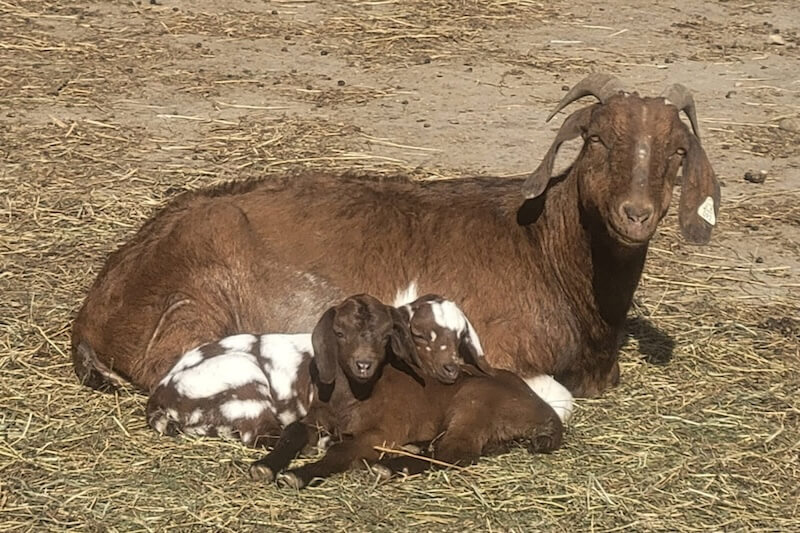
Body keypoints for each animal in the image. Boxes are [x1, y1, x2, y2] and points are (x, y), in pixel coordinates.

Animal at [71, 73, 720, 398]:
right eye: (598, 139)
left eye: (677, 153)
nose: (636, 215)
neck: (548, 254)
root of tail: (94, 310)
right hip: (195, 308)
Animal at [249, 297, 569, 489]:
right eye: (339, 333)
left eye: (385, 336)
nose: (363, 364)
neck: (352, 396)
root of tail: (545, 413)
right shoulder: (319, 416)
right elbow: (293, 431)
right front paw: (264, 466)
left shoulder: (383, 431)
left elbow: (343, 449)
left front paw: (297, 474)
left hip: (475, 403)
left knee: (456, 453)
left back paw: (389, 467)